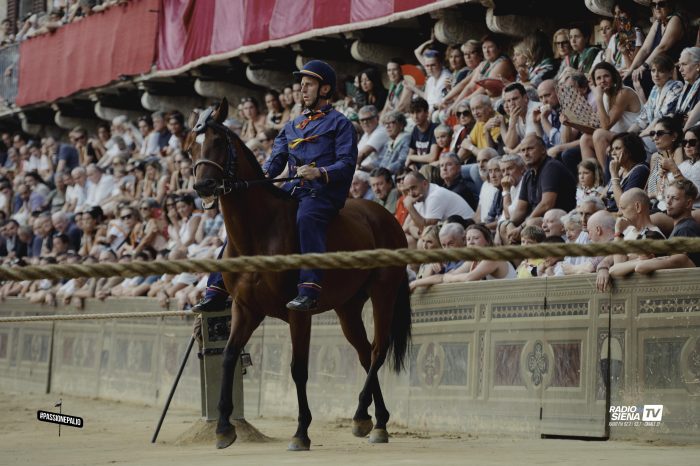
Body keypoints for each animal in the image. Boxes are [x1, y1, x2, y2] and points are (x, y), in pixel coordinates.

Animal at [189, 99, 412, 452]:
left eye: (219, 142)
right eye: (190, 147)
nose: (204, 186)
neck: (259, 233)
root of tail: (385, 217)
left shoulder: (298, 314)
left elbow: (298, 369)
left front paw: (301, 432)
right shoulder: (246, 309)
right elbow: (228, 357)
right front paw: (224, 427)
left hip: (383, 294)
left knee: (377, 351)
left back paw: (363, 415)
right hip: (348, 308)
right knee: (364, 353)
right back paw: (375, 420)